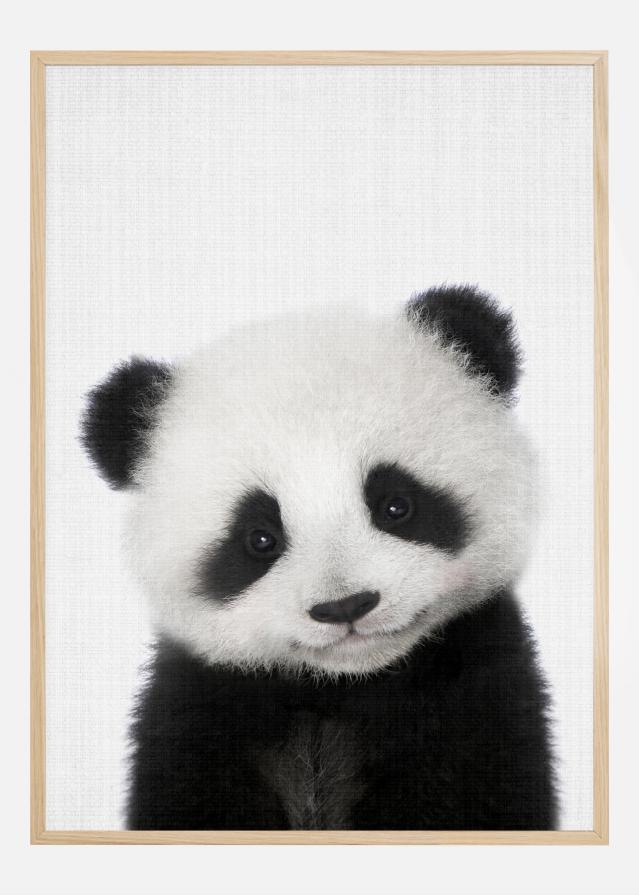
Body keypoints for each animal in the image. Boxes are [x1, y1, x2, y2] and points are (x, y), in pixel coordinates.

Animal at [81, 284, 557, 831]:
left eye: (396, 505)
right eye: (259, 538)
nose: (345, 606)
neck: (340, 687)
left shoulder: (474, 695)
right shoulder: (201, 711)